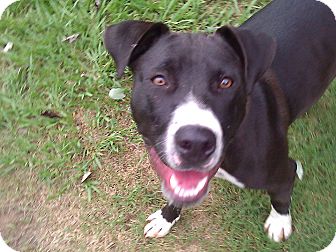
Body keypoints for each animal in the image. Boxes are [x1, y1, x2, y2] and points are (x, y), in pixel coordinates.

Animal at [103, 0, 334, 243]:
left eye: (226, 82)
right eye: (159, 80)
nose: (195, 142)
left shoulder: (283, 171)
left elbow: (281, 197)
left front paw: (279, 222)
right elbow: (176, 194)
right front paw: (166, 218)